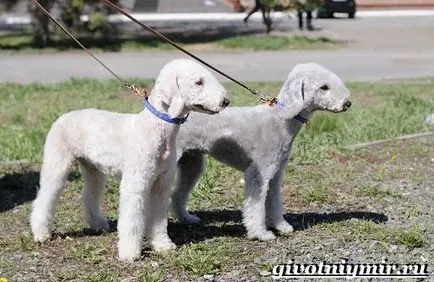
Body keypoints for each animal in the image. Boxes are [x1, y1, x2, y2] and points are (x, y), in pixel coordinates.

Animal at [171, 62, 350, 241]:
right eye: (324, 87)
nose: (347, 103)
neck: (282, 119)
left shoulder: (275, 173)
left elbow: (274, 200)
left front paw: (280, 225)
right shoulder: (259, 173)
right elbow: (256, 206)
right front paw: (260, 233)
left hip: (191, 161)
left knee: (177, 193)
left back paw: (186, 218)